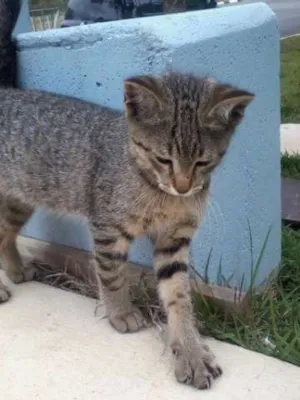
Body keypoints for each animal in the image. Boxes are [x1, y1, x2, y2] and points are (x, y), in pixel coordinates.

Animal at [0, 0, 253, 390]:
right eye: (163, 158)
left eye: (202, 162)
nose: (183, 186)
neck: (161, 193)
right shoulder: (108, 227)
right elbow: (112, 273)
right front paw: (121, 312)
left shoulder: (174, 241)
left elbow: (179, 297)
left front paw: (191, 350)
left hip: (20, 199)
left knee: (4, 233)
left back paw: (14, 269)